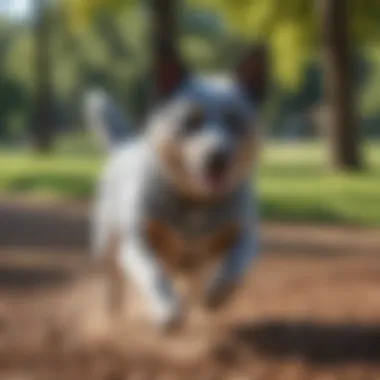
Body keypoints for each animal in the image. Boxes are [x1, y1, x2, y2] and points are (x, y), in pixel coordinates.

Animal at [88, 45, 268, 332]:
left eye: (235, 120)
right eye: (192, 121)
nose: (218, 157)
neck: (196, 203)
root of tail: (124, 146)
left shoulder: (245, 234)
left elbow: (237, 261)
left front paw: (217, 292)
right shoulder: (138, 242)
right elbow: (154, 274)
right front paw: (167, 310)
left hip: (192, 266)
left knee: (192, 282)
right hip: (106, 245)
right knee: (114, 281)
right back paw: (114, 313)